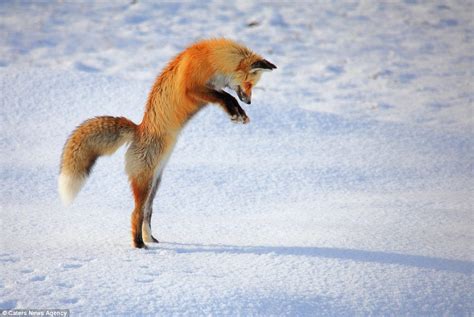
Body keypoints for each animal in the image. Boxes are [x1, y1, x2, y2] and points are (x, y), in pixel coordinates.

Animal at [57, 38, 276, 248]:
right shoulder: (194, 88)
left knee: (146, 213)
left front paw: (240, 115)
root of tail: (139, 129)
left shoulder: (210, 88)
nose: (249, 102)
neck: (210, 59)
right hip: (145, 183)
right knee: (135, 214)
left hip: (155, 183)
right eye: (250, 84)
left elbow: (227, 98)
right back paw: (139, 245)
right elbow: (226, 97)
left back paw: (150, 240)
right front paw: (237, 113)